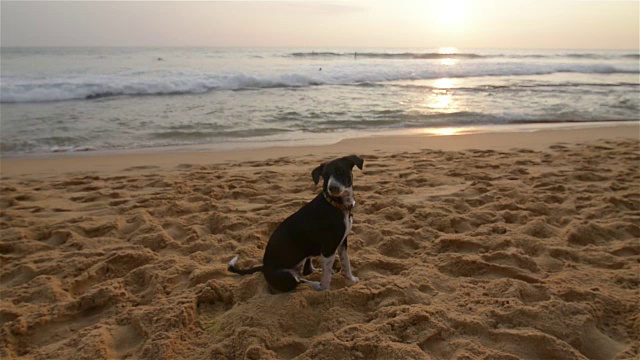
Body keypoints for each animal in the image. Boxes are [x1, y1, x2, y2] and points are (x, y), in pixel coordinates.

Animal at [228, 155, 362, 292]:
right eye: (325, 176)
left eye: (340, 171)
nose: (332, 188)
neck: (336, 204)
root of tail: (264, 267)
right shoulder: (328, 248)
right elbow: (326, 278)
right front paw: (324, 290)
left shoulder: (342, 242)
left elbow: (346, 263)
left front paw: (351, 279)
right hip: (286, 276)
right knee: (299, 280)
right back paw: (315, 284)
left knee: (306, 271)